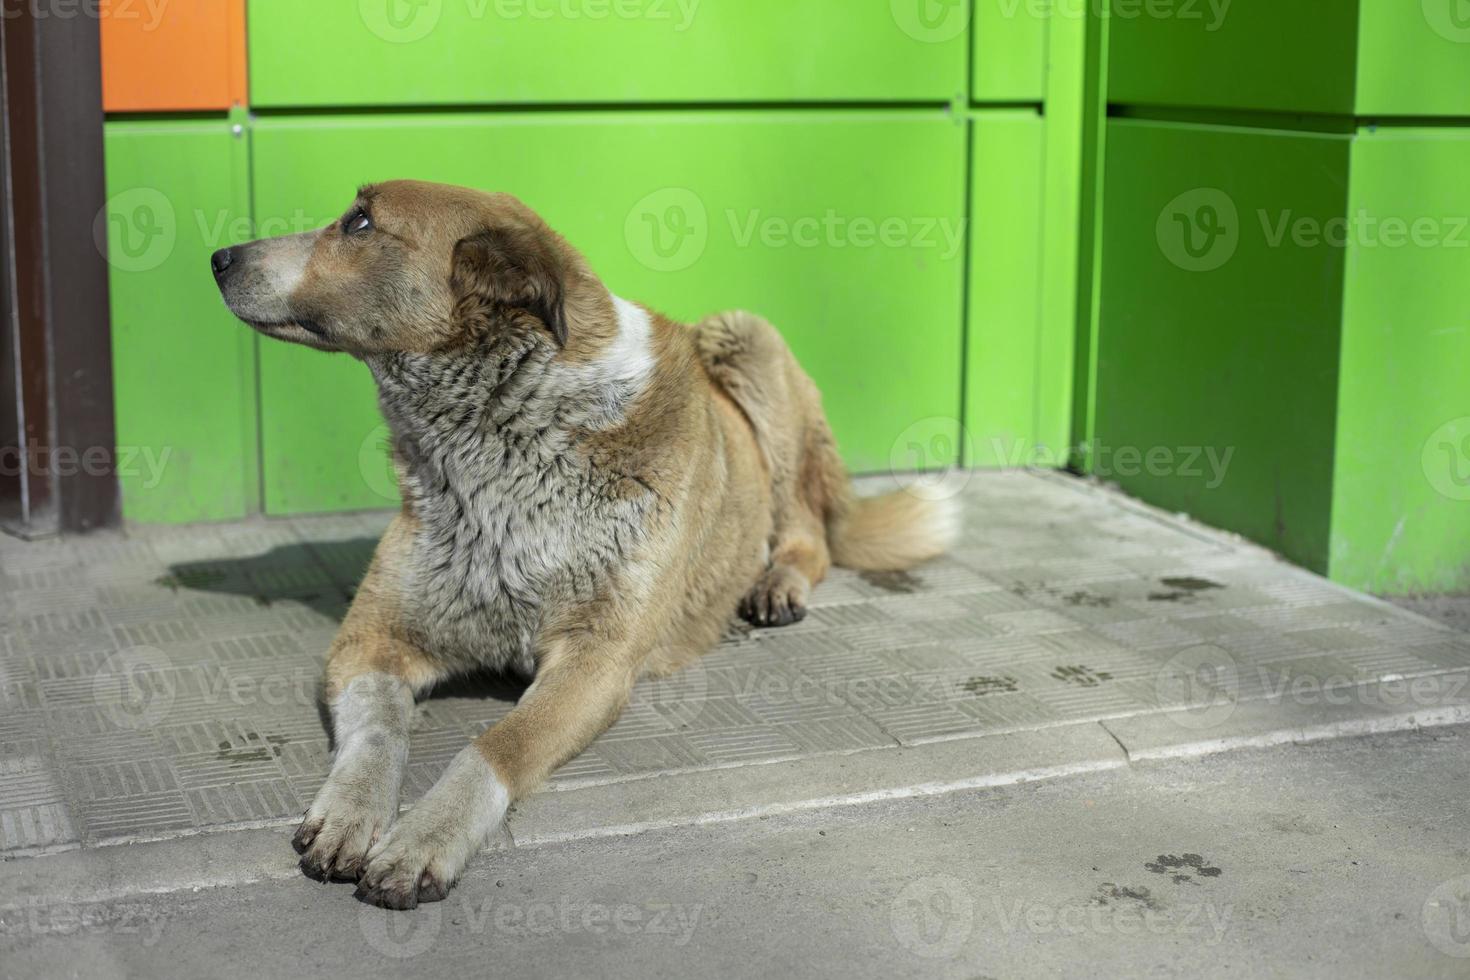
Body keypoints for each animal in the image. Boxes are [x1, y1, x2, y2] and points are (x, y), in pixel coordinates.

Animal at [213, 179, 958, 910]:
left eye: (360, 222)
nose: (219, 256)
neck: (507, 433)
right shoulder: (370, 638)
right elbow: (378, 729)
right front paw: (352, 812)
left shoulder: (597, 660)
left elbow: (495, 746)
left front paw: (424, 838)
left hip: (745, 336)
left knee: (809, 531)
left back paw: (778, 583)